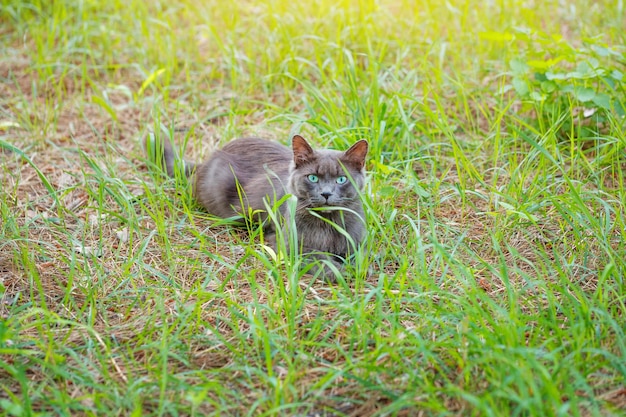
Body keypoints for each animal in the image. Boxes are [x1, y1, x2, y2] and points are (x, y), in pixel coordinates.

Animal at [146, 132, 366, 280]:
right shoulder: (286, 243)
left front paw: (354, 268)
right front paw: (340, 271)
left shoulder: (358, 242)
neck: (328, 224)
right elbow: (318, 257)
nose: (326, 193)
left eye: (341, 179)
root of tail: (209, 159)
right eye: (312, 177)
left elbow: (361, 257)